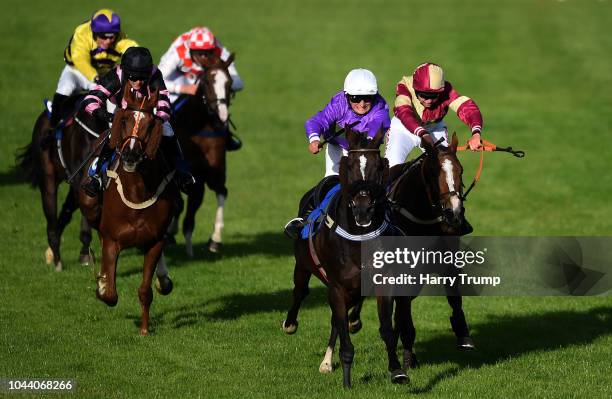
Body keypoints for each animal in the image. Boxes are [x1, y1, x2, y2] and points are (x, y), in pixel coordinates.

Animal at [80, 85, 179, 338]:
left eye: (151, 124)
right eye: (124, 120)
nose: (131, 156)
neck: (137, 193)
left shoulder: (154, 242)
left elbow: (145, 290)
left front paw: (144, 329)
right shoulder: (112, 239)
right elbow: (110, 295)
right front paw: (102, 283)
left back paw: (163, 279)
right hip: (90, 205)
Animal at [171, 54, 235, 256]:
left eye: (229, 82)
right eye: (207, 81)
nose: (222, 114)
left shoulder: (213, 172)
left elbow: (221, 192)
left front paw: (215, 240)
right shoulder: (189, 175)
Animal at [280, 127, 388, 388]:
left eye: (378, 166)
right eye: (350, 166)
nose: (363, 210)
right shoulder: (337, 287)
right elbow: (346, 345)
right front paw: (347, 384)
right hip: (302, 265)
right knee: (300, 292)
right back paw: (291, 325)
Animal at [372, 134, 474, 384]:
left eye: (461, 170)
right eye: (433, 172)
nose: (454, 213)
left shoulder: (446, 257)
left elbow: (454, 295)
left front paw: (463, 334)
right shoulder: (399, 274)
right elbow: (402, 317)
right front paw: (405, 362)